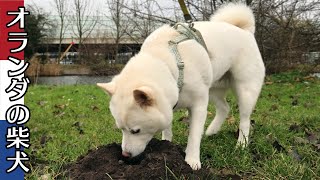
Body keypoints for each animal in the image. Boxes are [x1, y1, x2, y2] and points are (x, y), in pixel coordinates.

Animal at [97, 3, 264, 171]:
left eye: (135, 131)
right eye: (120, 129)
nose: (125, 155)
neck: (168, 63)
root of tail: (244, 30)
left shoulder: (198, 105)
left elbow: (194, 135)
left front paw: (192, 161)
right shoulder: (168, 104)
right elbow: (167, 129)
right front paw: (167, 144)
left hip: (245, 91)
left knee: (244, 120)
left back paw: (241, 144)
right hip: (213, 89)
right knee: (224, 107)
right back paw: (212, 131)